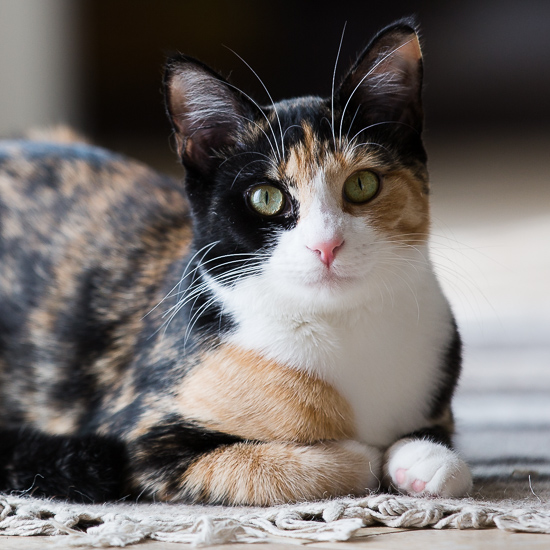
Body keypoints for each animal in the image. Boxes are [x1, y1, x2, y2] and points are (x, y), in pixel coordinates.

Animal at [0, 20, 474, 504]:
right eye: (265, 197)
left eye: (362, 184)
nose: (326, 245)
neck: (344, 327)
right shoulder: (144, 438)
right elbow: (306, 465)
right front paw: (361, 455)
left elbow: (441, 447)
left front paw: (426, 461)